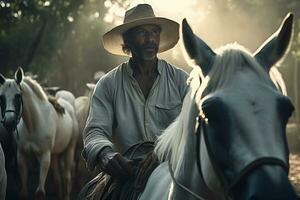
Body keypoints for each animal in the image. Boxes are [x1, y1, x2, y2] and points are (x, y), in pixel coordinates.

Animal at [0, 69, 78, 200]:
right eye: (1, 97)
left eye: (18, 96)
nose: (9, 122)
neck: (33, 125)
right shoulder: (22, 156)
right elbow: (24, 192)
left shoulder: (45, 156)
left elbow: (40, 192)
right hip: (55, 155)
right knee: (57, 179)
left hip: (70, 149)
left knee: (66, 178)